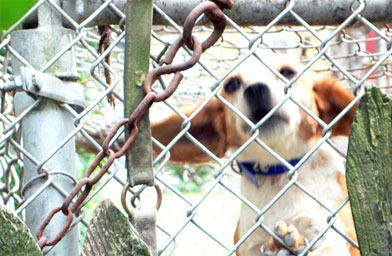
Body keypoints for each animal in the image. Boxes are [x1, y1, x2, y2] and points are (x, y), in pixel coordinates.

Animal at [152, 54, 360, 256]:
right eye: (232, 84)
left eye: (287, 72)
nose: (256, 89)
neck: (278, 173)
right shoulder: (249, 245)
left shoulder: (332, 234)